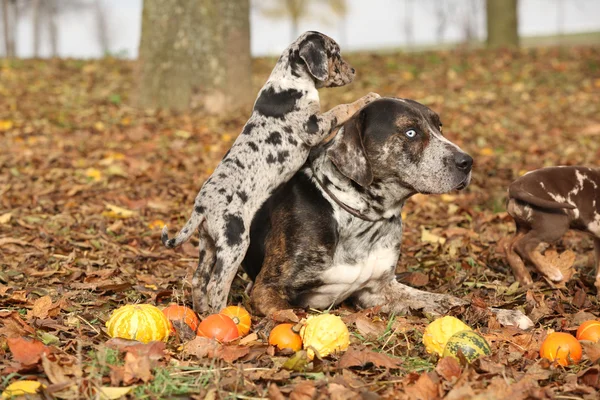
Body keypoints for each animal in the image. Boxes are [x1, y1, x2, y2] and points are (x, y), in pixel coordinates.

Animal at [162, 30, 378, 312]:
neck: (289, 81)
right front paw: (367, 98)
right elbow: (340, 109)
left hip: (208, 244)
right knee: (216, 285)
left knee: (199, 279)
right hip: (234, 243)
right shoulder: (313, 126)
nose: (353, 70)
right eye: (335, 53)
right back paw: (222, 315)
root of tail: (201, 207)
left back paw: (202, 313)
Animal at [244, 98, 536, 330]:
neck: (361, 216)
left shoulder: (379, 290)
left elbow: (451, 301)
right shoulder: (268, 288)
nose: (467, 161)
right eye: (410, 132)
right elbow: (297, 316)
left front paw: (503, 315)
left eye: (439, 127)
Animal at [506, 166, 600, 294]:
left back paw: (524, 279)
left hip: (525, 227)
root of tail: (516, 185)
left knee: (509, 246)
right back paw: (551, 272)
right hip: (555, 225)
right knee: (523, 246)